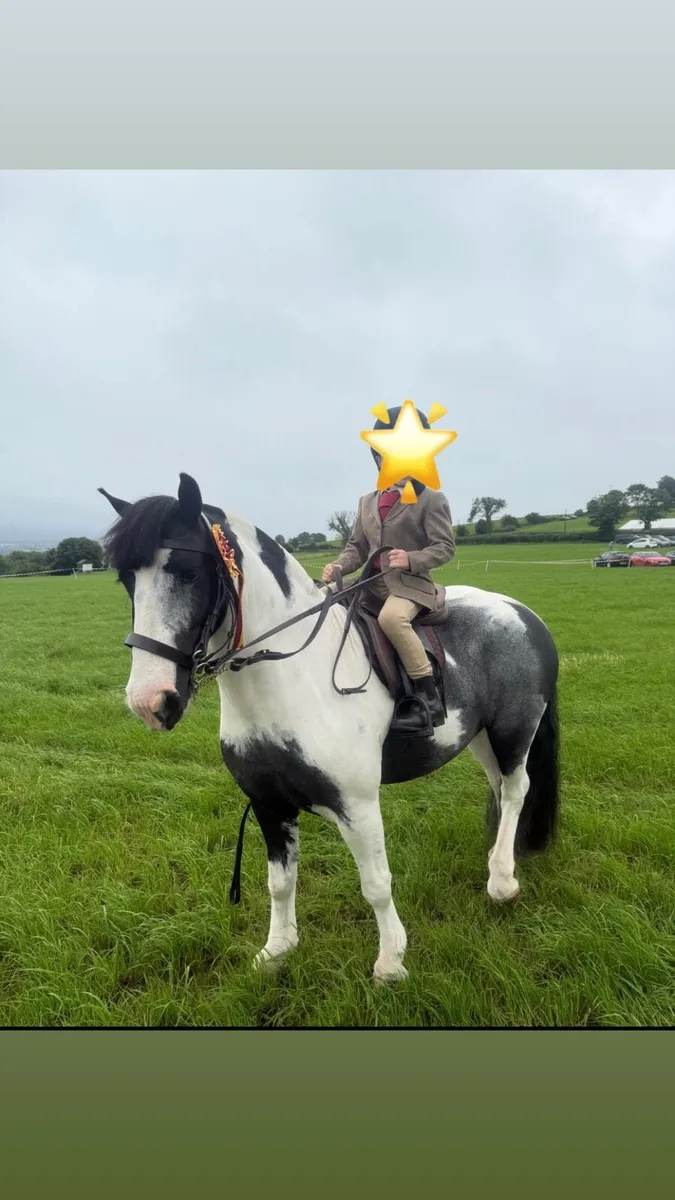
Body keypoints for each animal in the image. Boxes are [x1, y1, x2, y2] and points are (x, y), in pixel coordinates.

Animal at [99, 473, 559, 985]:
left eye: (188, 572)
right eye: (126, 580)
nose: (150, 701)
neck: (295, 677)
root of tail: (521, 612)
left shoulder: (356, 804)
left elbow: (376, 883)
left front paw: (390, 963)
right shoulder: (268, 803)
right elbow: (279, 882)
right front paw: (277, 950)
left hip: (514, 728)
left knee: (516, 789)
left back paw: (502, 880)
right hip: (479, 735)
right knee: (499, 787)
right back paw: (500, 854)